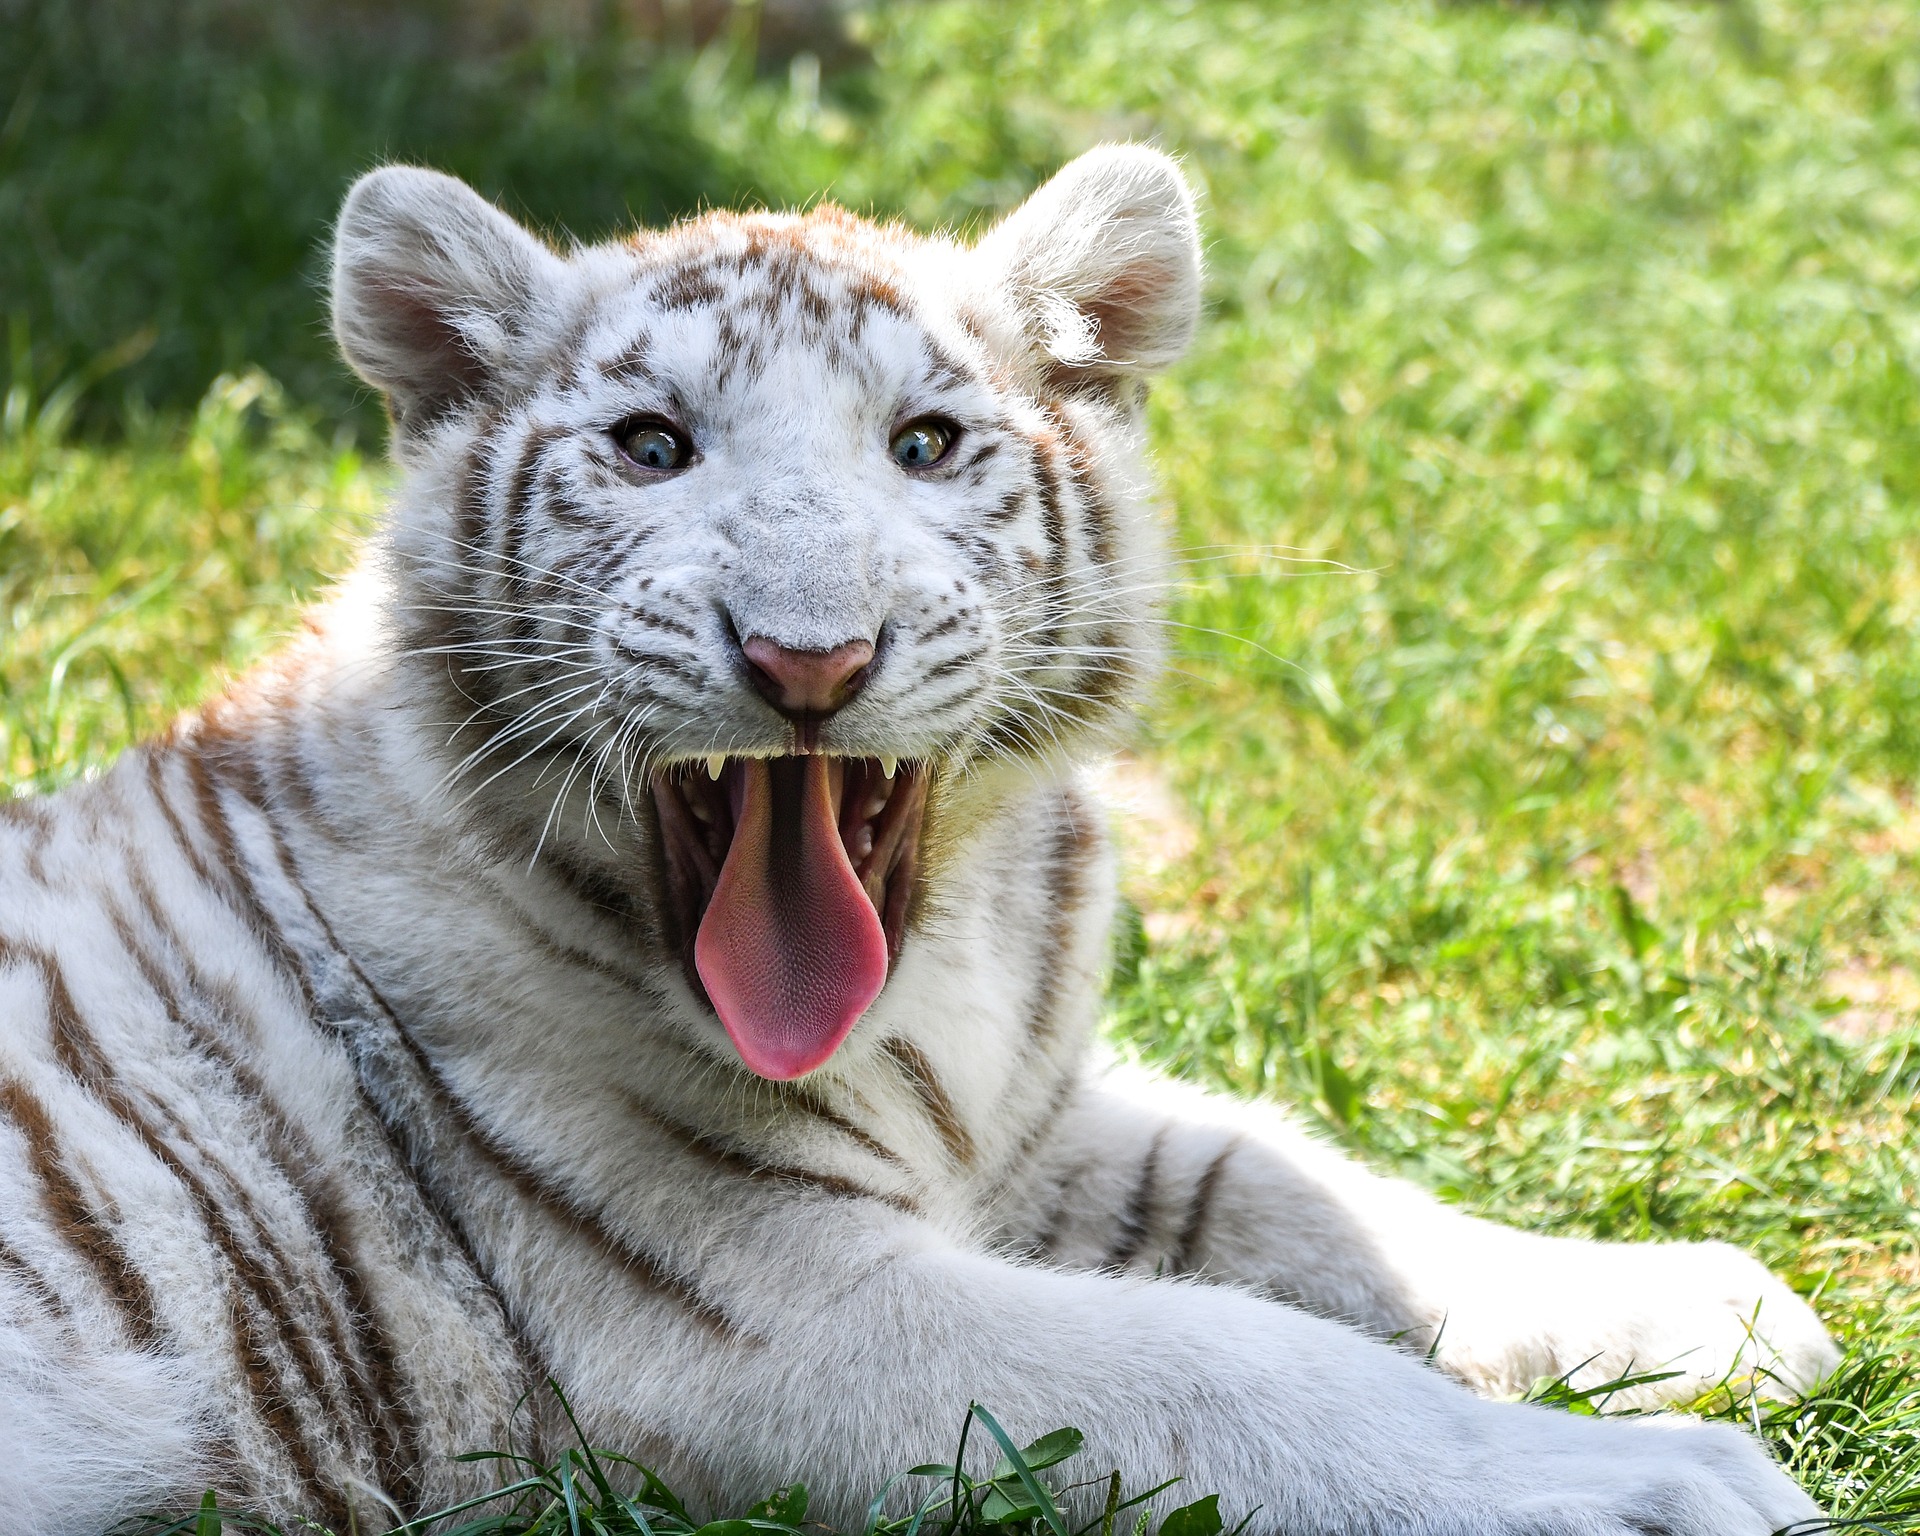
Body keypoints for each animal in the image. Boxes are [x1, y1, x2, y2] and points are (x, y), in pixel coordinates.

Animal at [0, 146, 1839, 1536]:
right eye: (653, 448)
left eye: (926, 445)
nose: (807, 658)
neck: (944, 963)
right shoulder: (761, 1308)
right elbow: (1236, 1361)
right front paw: (1668, 1484)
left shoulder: (1033, 1132)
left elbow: (1294, 1185)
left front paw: (1701, 1304)